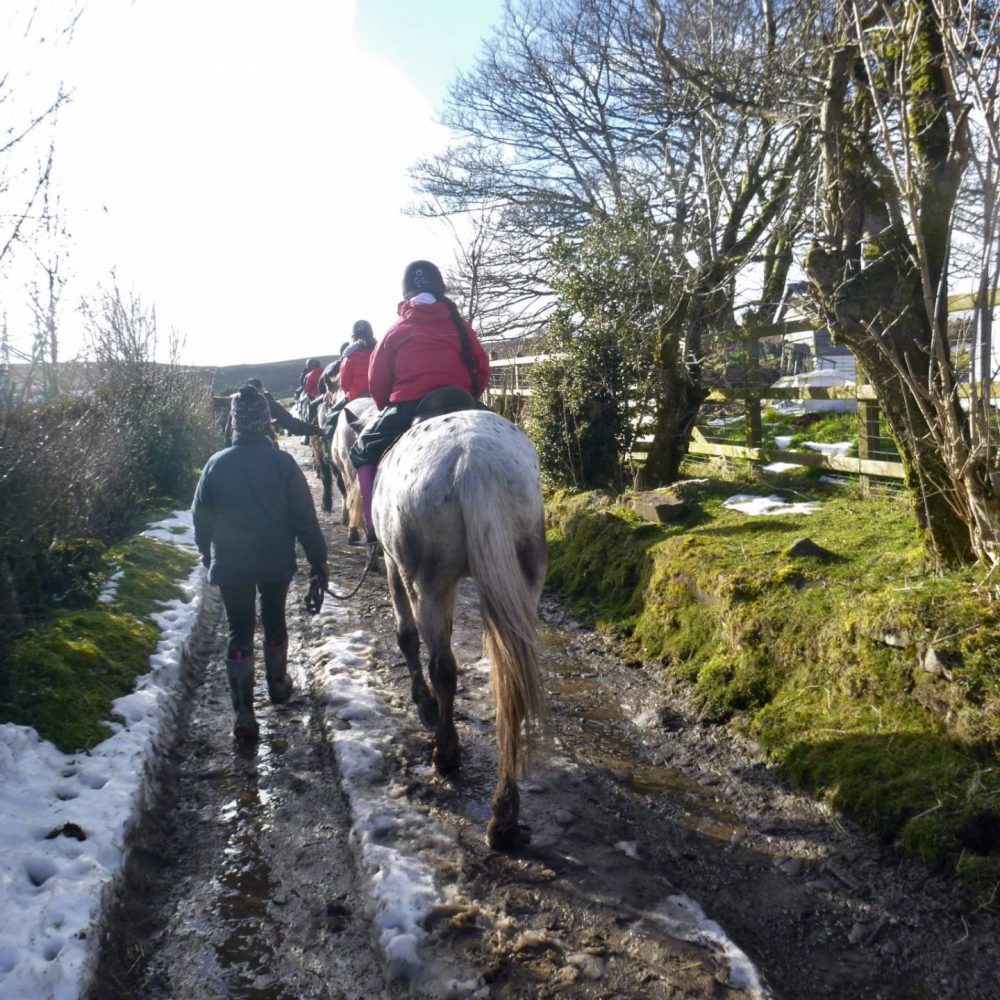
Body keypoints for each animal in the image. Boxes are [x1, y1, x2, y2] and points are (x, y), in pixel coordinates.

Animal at [371, 404, 548, 848]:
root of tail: (474, 462)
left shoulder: (393, 566)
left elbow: (406, 637)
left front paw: (424, 703)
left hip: (428, 582)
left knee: (444, 668)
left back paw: (446, 754)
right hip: (525, 579)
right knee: (510, 684)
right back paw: (504, 815)